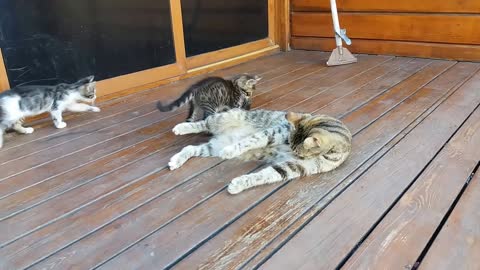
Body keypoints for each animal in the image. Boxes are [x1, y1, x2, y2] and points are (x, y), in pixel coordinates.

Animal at [167, 107, 350, 194]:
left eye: (297, 154)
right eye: (291, 147)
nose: (293, 153)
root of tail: (223, 135)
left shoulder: (297, 166)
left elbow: (268, 174)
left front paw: (240, 183)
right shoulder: (278, 131)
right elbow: (252, 140)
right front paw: (231, 150)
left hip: (213, 147)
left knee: (191, 148)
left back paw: (176, 160)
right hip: (225, 117)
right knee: (202, 123)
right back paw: (181, 128)